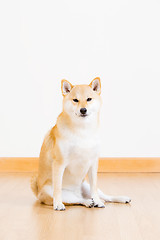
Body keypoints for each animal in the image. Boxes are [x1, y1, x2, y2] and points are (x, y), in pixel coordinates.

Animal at [31, 78, 131, 210]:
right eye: (75, 100)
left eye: (88, 99)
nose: (83, 110)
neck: (82, 130)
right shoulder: (59, 163)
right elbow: (57, 188)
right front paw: (57, 204)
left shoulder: (93, 163)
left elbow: (94, 187)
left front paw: (97, 201)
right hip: (53, 192)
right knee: (77, 200)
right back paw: (87, 202)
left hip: (85, 185)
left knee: (104, 196)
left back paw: (113, 199)